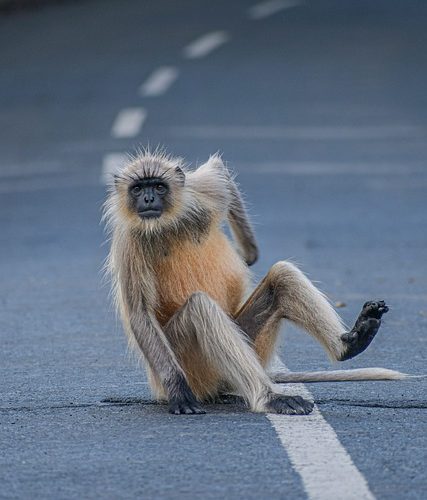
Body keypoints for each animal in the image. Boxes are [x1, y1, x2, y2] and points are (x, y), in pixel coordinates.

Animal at [105, 150, 410, 416]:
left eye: (158, 186)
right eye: (137, 189)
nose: (147, 198)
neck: (166, 225)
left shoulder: (199, 192)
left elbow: (220, 174)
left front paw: (248, 255)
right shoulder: (130, 240)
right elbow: (140, 313)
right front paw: (179, 392)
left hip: (249, 343)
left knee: (282, 276)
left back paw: (353, 341)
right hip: (190, 365)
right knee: (200, 308)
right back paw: (269, 397)